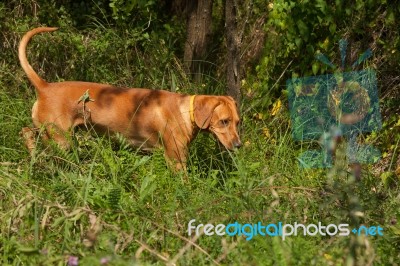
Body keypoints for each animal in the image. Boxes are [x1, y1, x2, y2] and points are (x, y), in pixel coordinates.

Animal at [18, 26, 241, 168]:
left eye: (237, 122)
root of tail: (44, 86)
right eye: (224, 121)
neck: (186, 111)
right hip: (60, 139)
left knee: (27, 131)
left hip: (47, 130)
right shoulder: (176, 160)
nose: (239, 146)